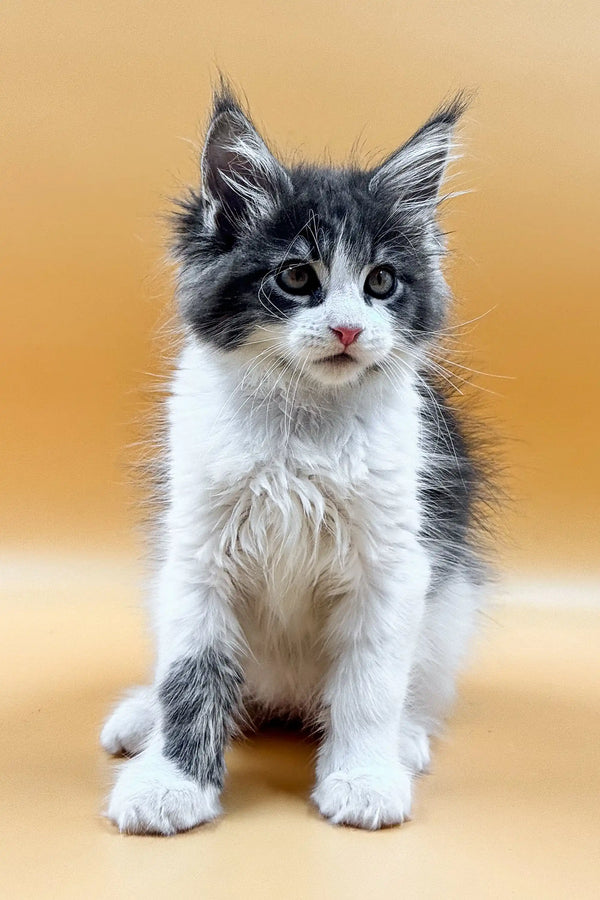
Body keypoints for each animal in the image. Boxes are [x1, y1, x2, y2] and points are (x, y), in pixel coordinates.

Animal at [102, 86, 488, 836]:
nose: (348, 329)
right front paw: (168, 784)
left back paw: (403, 739)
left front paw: (363, 777)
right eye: (299, 276)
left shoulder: (394, 564)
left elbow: (369, 682)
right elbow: (190, 677)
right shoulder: (197, 557)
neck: (300, 427)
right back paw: (140, 715)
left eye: (382, 282)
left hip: (446, 612)